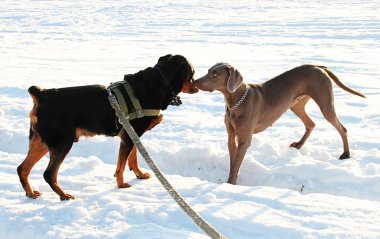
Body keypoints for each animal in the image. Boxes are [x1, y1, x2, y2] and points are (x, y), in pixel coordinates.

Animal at [17, 54, 199, 200]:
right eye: (192, 74)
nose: (197, 86)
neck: (157, 83)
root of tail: (41, 95)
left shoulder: (133, 135)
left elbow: (133, 158)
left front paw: (139, 174)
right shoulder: (129, 137)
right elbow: (121, 165)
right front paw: (121, 184)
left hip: (41, 141)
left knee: (22, 168)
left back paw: (31, 193)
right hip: (62, 142)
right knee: (49, 174)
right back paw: (64, 195)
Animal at [196, 63, 366, 183]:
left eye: (215, 74)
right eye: (208, 70)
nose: (195, 81)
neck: (236, 102)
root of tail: (318, 66)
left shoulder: (244, 140)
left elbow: (237, 163)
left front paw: (230, 183)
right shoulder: (232, 138)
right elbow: (233, 163)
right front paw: (231, 180)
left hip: (325, 103)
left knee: (342, 128)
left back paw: (346, 154)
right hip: (296, 105)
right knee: (311, 124)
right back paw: (299, 144)